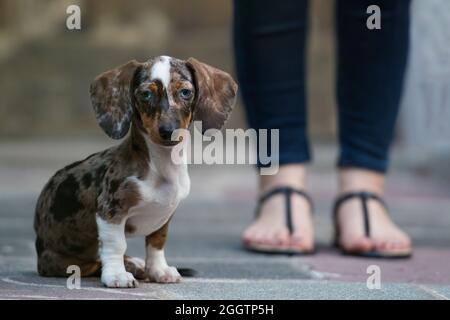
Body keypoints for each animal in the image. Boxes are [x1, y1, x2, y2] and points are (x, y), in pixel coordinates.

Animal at [33, 57, 237, 288]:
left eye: (185, 92)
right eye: (146, 94)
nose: (168, 131)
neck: (159, 166)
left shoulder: (164, 217)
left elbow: (156, 244)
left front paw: (158, 270)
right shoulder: (110, 211)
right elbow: (116, 244)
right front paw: (116, 275)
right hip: (61, 262)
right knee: (92, 263)